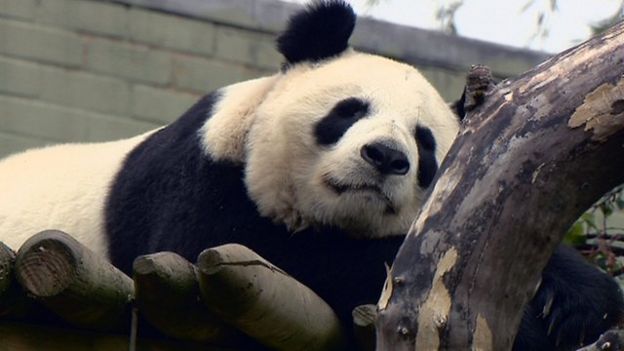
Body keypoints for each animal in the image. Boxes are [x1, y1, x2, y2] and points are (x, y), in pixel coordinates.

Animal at [0, 1, 620, 350]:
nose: (385, 156)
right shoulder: (199, 180)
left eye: (424, 144)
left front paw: (580, 301)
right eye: (348, 110)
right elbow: (271, 255)